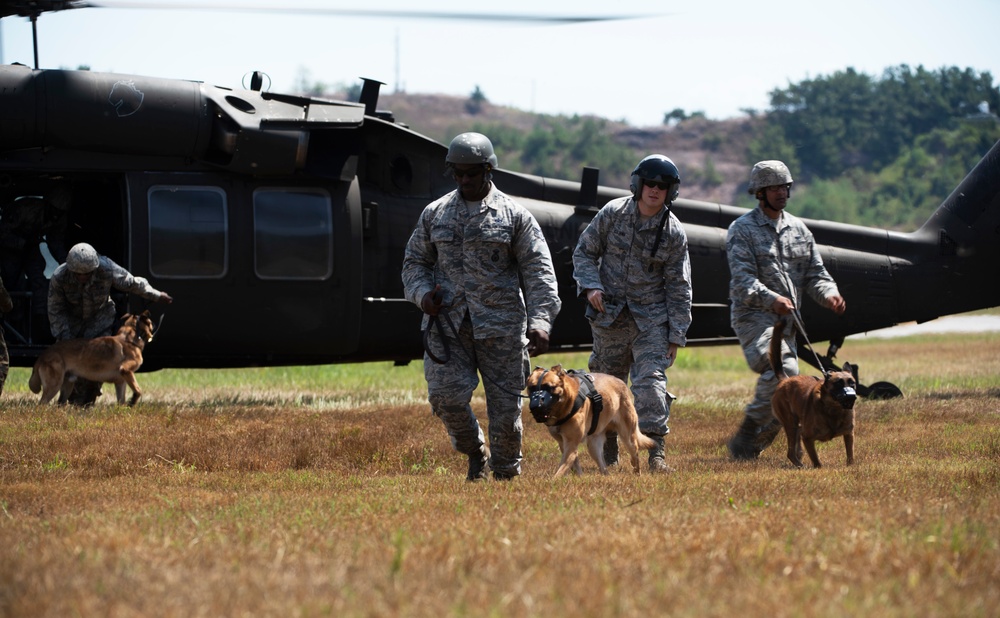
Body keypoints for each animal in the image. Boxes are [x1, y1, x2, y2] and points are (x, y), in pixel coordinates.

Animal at [524, 364, 656, 474]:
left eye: (549, 387)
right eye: (531, 387)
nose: (536, 406)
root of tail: (621, 382)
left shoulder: (571, 445)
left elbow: (560, 470)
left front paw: (554, 481)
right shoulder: (564, 444)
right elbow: (575, 466)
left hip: (628, 438)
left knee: (635, 455)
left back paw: (636, 473)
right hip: (593, 446)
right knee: (603, 467)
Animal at [768, 318, 856, 466]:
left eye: (852, 383)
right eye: (838, 383)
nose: (850, 396)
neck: (834, 411)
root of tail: (785, 380)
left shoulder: (849, 434)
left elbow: (850, 455)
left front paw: (850, 466)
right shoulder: (807, 438)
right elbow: (816, 461)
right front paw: (818, 467)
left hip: (796, 426)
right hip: (791, 424)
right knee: (790, 453)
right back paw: (799, 466)